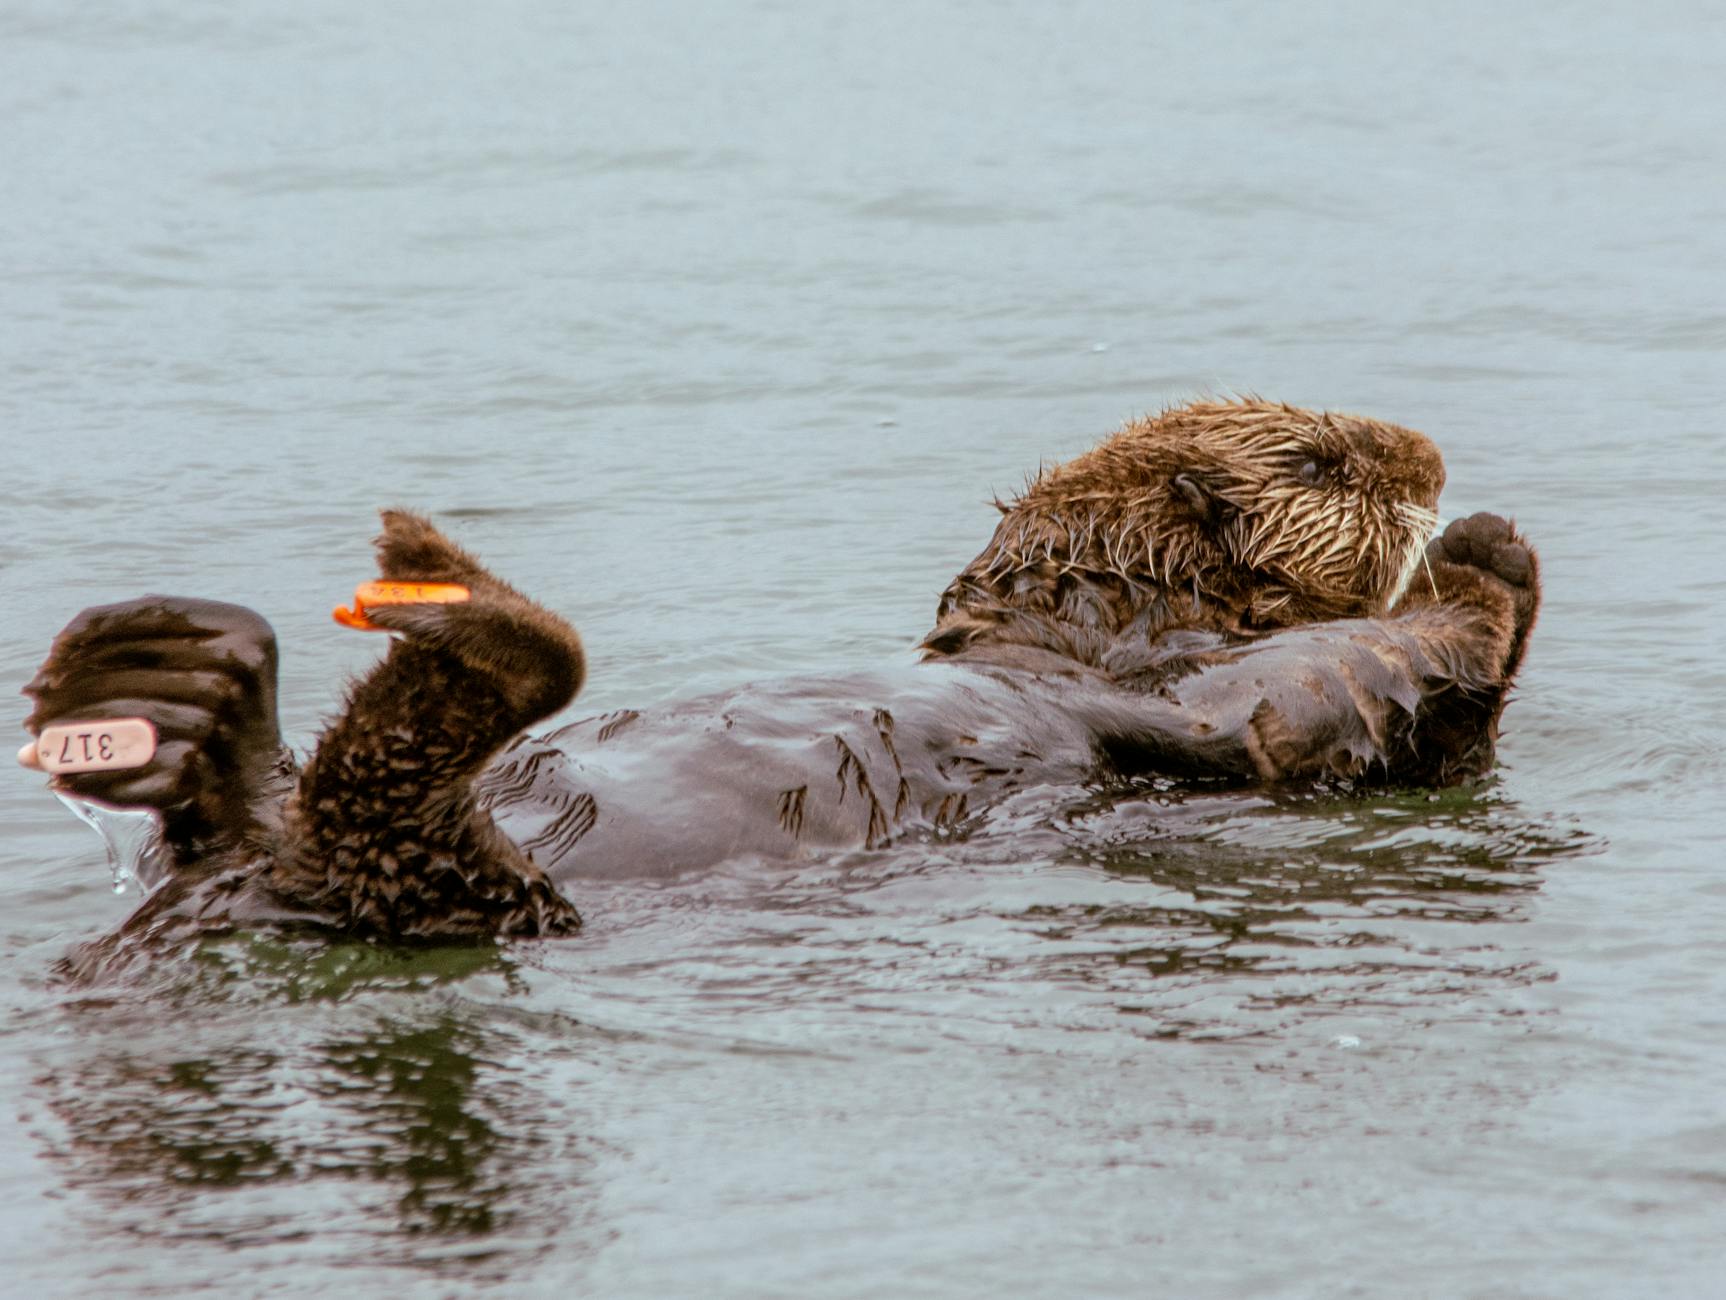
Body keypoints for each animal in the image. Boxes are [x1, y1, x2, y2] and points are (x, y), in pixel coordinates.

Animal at [21, 399, 1539, 971]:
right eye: (1328, 463)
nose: (1424, 457)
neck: (1080, 628)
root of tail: (253, 886)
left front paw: (1488, 550)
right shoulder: (1188, 688)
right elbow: (1299, 693)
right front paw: (1481, 553)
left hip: (459, 881)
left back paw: (181, 680)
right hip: (452, 875)